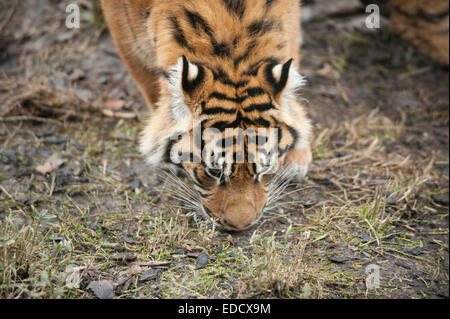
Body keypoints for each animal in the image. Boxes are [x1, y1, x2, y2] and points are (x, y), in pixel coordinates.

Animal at [101, 0, 312, 231]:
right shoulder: (124, 29)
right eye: (213, 172)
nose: (240, 227)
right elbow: (150, 83)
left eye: (264, 170)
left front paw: (296, 157)